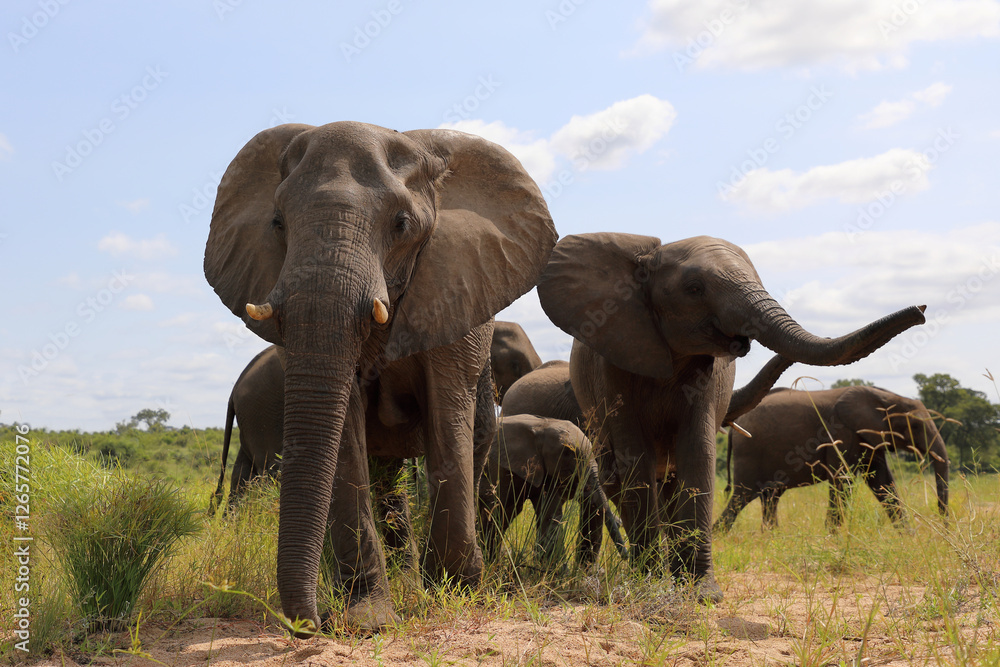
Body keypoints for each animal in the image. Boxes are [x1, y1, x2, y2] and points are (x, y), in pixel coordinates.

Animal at [204, 121, 557, 633]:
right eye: (277, 223)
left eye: (401, 225)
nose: (313, 623)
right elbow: (344, 436)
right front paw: (367, 618)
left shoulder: (454, 286)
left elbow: (447, 417)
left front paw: (454, 591)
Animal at [478, 414, 629, 567]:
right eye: (567, 452)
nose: (626, 557)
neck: (540, 425)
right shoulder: (499, 465)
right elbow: (496, 510)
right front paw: (489, 565)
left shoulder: (546, 471)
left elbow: (549, 515)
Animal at [714, 386, 949, 532]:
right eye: (915, 426)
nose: (943, 525)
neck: (886, 396)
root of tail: (733, 425)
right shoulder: (841, 433)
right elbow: (843, 481)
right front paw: (831, 536)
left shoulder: (867, 437)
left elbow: (882, 482)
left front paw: (908, 536)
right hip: (750, 453)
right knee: (741, 497)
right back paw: (718, 536)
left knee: (770, 497)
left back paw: (772, 536)